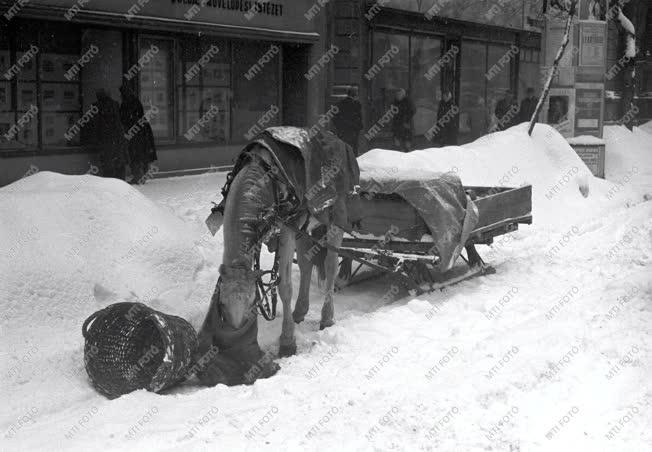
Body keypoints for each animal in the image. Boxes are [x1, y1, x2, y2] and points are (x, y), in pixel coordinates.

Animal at [195, 140, 346, 384]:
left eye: (251, 304)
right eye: (222, 304)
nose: (236, 344)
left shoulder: (287, 229)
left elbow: (284, 286)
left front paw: (287, 342)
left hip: (335, 217)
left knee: (331, 266)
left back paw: (326, 318)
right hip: (305, 228)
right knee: (306, 265)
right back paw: (299, 312)